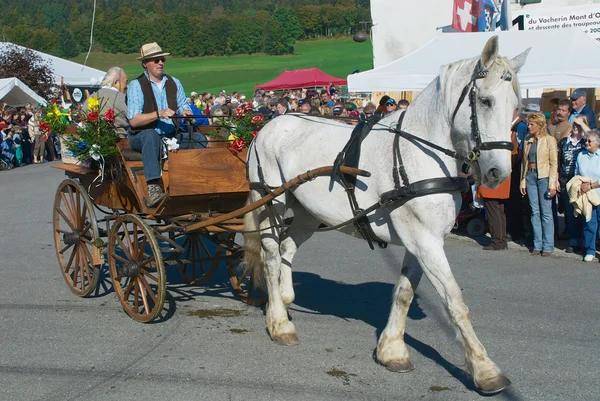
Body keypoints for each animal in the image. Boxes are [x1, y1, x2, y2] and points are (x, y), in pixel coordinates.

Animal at [241, 37, 528, 394]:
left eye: (516, 106)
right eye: (486, 101)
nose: (498, 173)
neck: (420, 152)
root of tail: (267, 126)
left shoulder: (421, 240)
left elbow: (404, 293)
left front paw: (392, 350)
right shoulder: (426, 241)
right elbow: (455, 302)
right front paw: (486, 370)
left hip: (307, 212)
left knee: (287, 249)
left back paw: (282, 298)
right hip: (271, 201)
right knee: (270, 254)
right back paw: (279, 323)